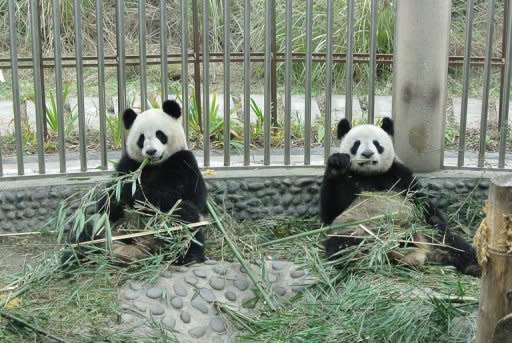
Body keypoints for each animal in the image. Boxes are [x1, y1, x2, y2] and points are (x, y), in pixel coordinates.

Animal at [63, 99, 206, 266]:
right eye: (141, 138)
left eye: (160, 134)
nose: (151, 152)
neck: (153, 165)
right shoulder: (128, 164)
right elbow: (106, 202)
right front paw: (117, 197)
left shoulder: (183, 162)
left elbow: (169, 194)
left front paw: (134, 193)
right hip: (103, 228)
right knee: (85, 229)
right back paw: (73, 258)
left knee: (185, 219)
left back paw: (189, 256)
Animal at [322, 117, 482, 276]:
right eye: (356, 144)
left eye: (377, 144)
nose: (367, 154)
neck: (370, 175)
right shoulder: (351, 179)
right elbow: (331, 210)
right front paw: (337, 163)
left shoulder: (399, 175)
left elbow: (421, 200)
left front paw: (437, 218)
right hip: (356, 229)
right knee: (341, 244)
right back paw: (355, 258)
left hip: (425, 231)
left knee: (452, 242)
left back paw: (473, 265)